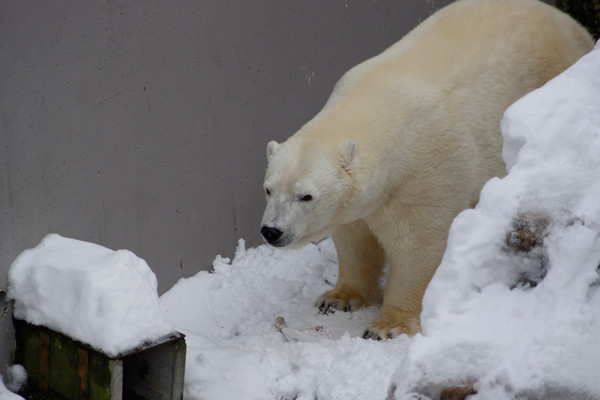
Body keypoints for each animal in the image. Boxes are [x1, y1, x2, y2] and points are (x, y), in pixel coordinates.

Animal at [260, 0, 592, 340]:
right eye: (269, 189)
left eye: (306, 196)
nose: (272, 231)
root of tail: (566, 20)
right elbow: (354, 238)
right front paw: (337, 298)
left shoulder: (423, 173)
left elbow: (416, 247)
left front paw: (387, 326)